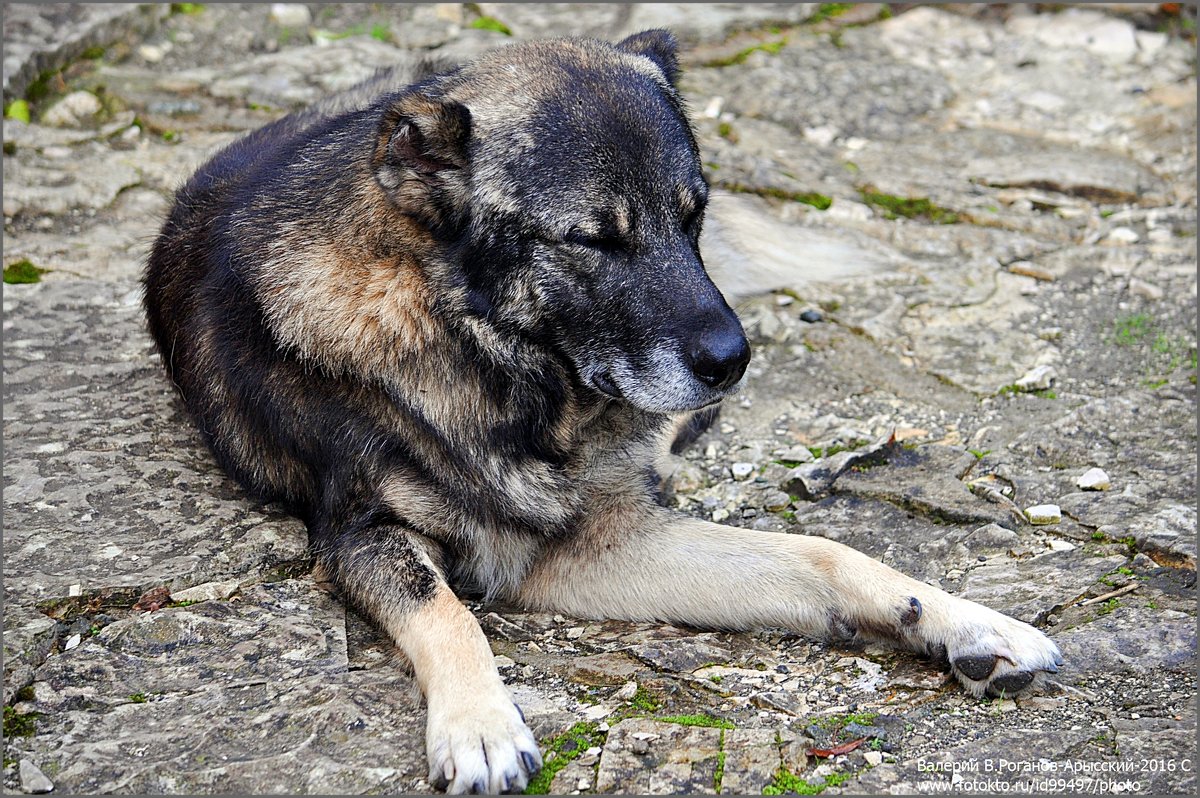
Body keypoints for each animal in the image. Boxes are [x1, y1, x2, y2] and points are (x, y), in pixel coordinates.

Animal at [145, 29, 1065, 792]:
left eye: (694, 215)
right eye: (593, 239)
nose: (733, 361)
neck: (482, 350)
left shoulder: (597, 543)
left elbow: (821, 554)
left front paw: (958, 620)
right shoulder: (362, 537)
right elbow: (444, 612)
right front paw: (479, 725)